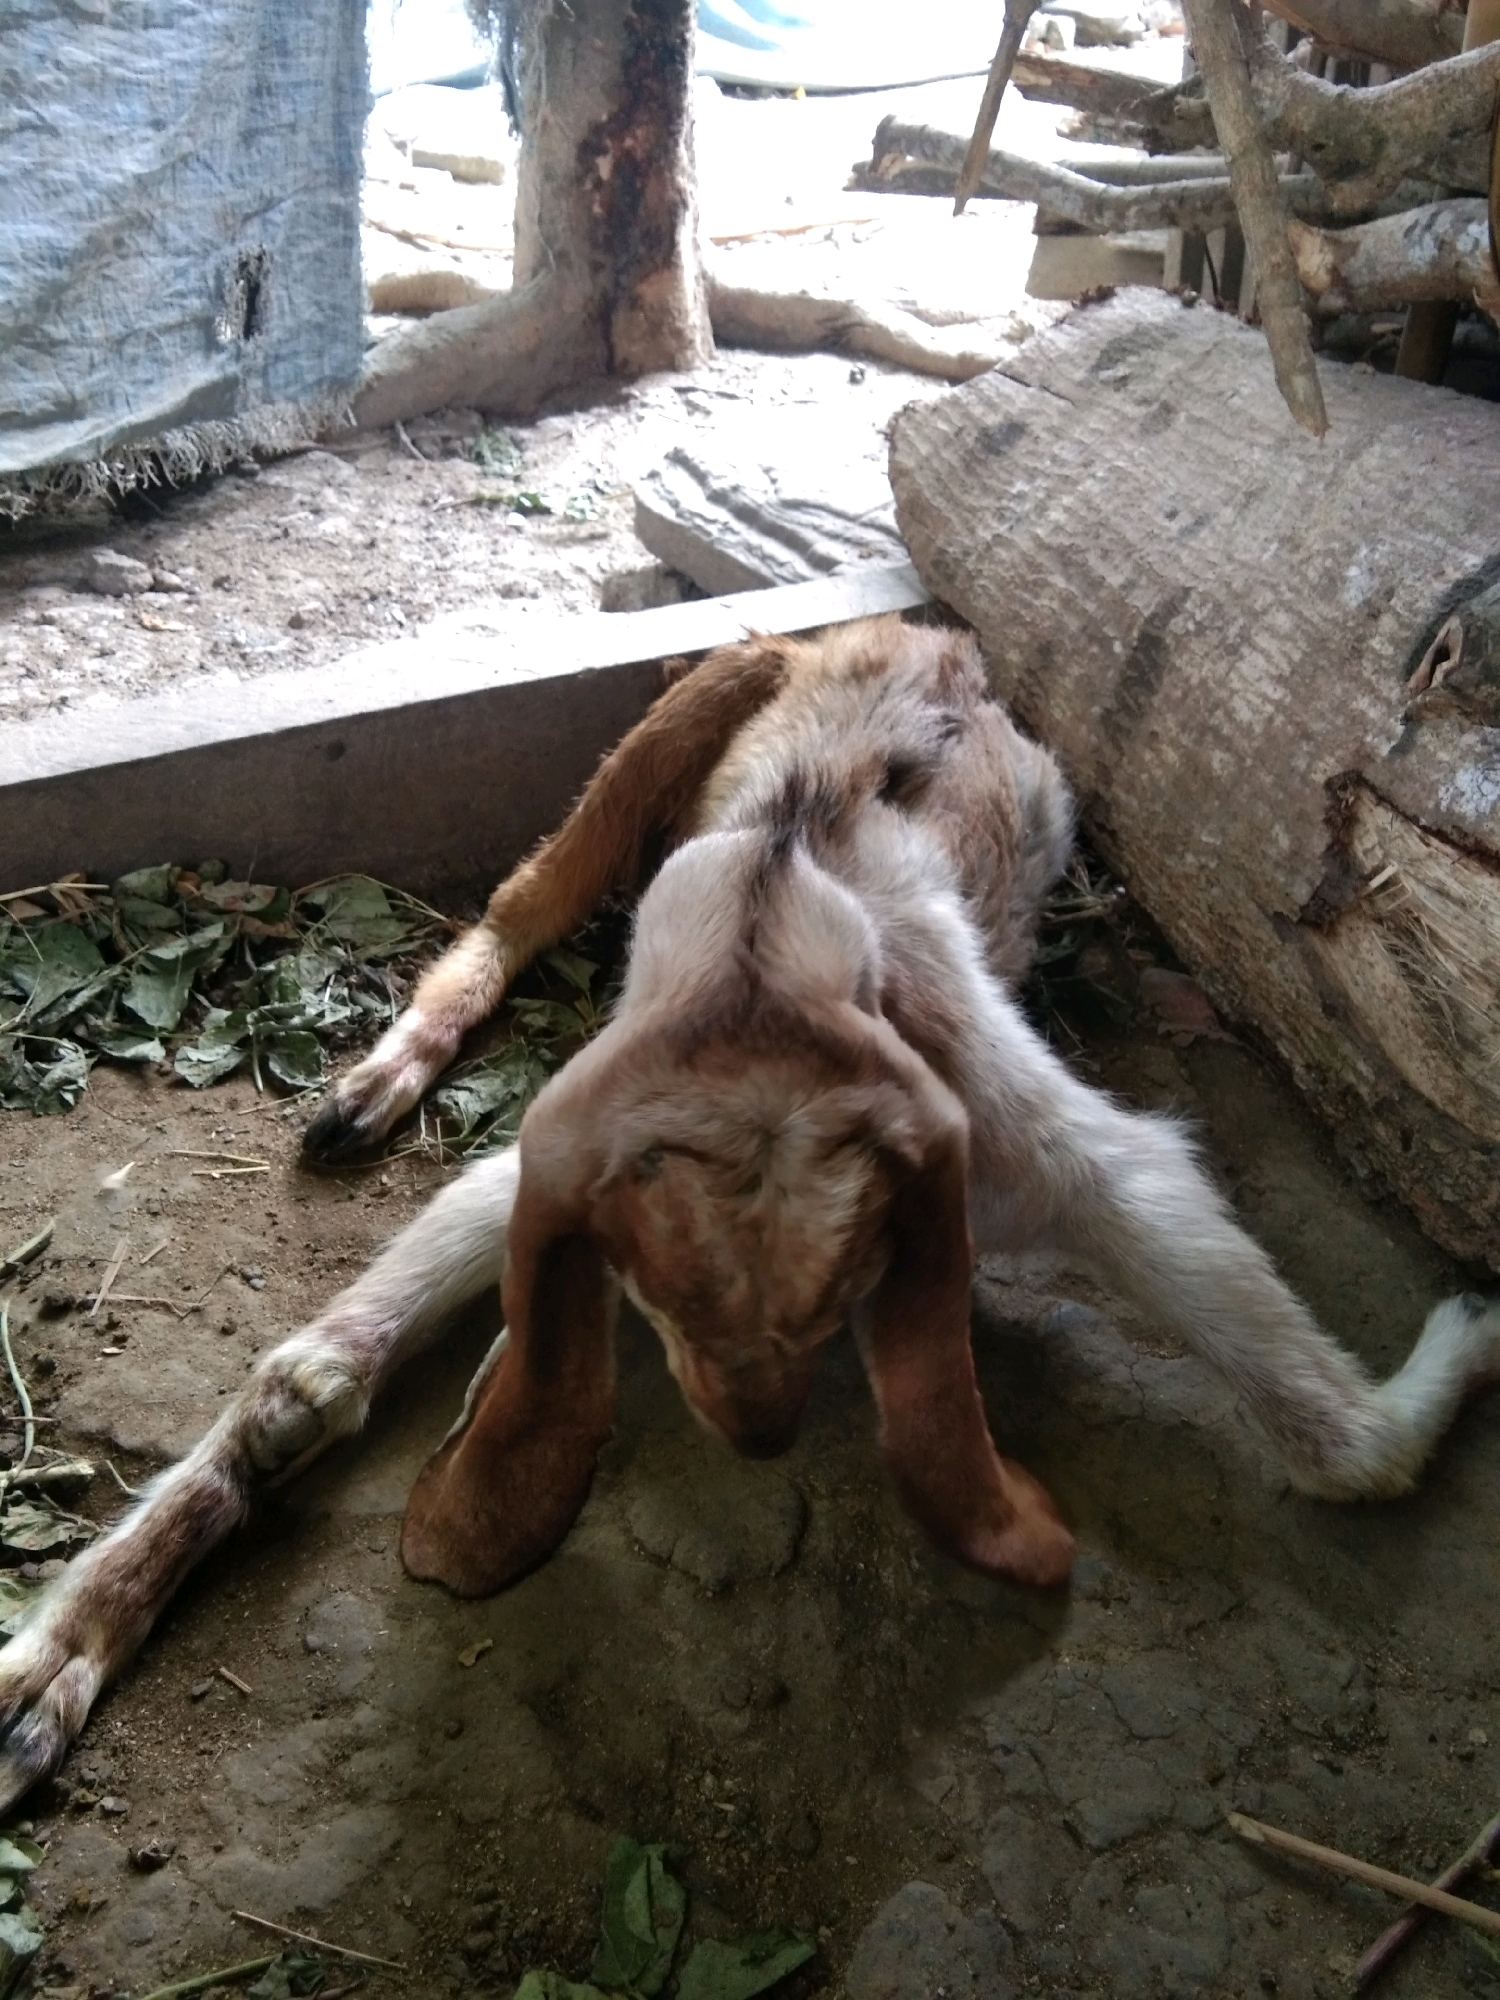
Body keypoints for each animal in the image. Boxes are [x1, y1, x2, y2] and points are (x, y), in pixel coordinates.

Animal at [0, 613, 1494, 1807]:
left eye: (835, 1301)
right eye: (674, 1308)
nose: (758, 1426)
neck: (762, 961)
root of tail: (936, 637)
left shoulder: (1037, 1140)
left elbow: (1332, 1433)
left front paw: (1463, 1339)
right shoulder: (580, 1133)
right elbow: (305, 1378)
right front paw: (54, 1658)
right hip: (703, 692)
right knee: (528, 895)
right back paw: (378, 1075)